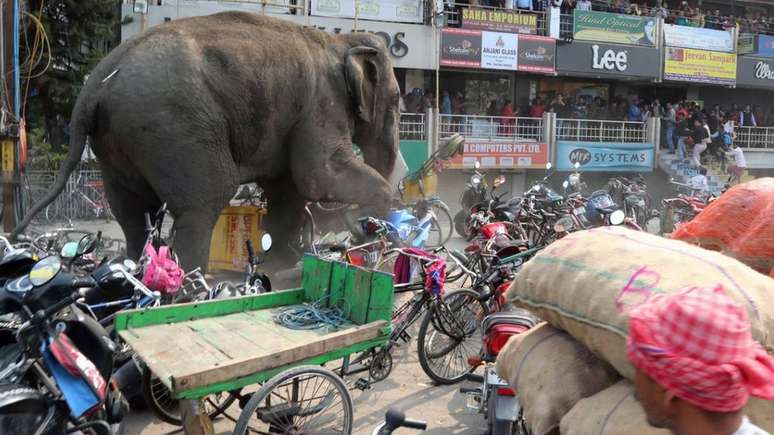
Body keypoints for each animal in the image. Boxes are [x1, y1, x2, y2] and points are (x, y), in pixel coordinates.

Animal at [13, 12, 412, 272]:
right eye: (396, 102)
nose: (361, 231)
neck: (340, 42)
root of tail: (95, 85)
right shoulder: (322, 102)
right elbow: (319, 175)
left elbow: (287, 190)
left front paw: (284, 265)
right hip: (174, 125)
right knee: (204, 201)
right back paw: (191, 282)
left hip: (116, 141)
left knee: (132, 211)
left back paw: (138, 268)